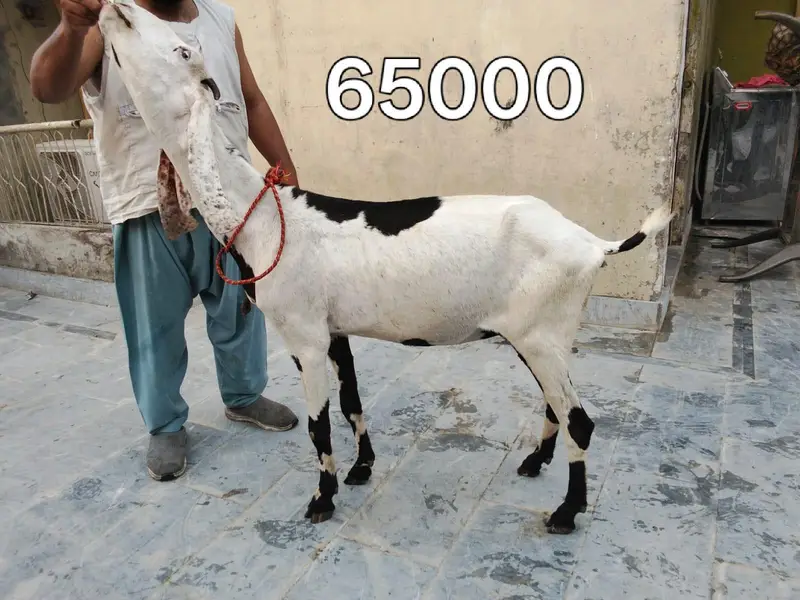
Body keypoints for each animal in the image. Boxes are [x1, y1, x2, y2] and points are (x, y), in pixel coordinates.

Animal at [98, 0, 674, 534]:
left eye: (183, 51)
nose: (115, 10)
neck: (264, 216)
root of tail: (592, 243)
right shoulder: (334, 330)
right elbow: (351, 400)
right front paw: (361, 469)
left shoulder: (305, 337)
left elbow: (319, 425)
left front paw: (322, 499)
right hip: (542, 335)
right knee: (557, 405)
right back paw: (536, 462)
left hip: (540, 333)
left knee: (581, 421)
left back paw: (567, 511)